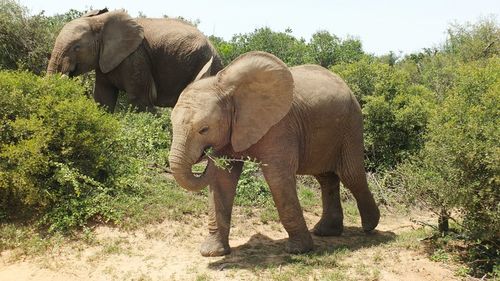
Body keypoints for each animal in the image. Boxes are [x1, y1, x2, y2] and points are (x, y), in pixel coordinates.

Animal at [47, 8, 223, 111]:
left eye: (76, 47)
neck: (100, 21)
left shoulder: (135, 57)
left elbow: (140, 99)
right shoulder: (106, 59)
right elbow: (103, 97)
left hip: (207, 64)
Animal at [168, 50, 378, 256]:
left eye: (204, 129)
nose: (206, 154)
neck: (232, 91)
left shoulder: (280, 126)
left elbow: (277, 177)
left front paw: (298, 250)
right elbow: (222, 178)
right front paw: (212, 252)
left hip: (351, 125)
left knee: (351, 175)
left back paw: (370, 227)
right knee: (326, 178)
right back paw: (325, 232)